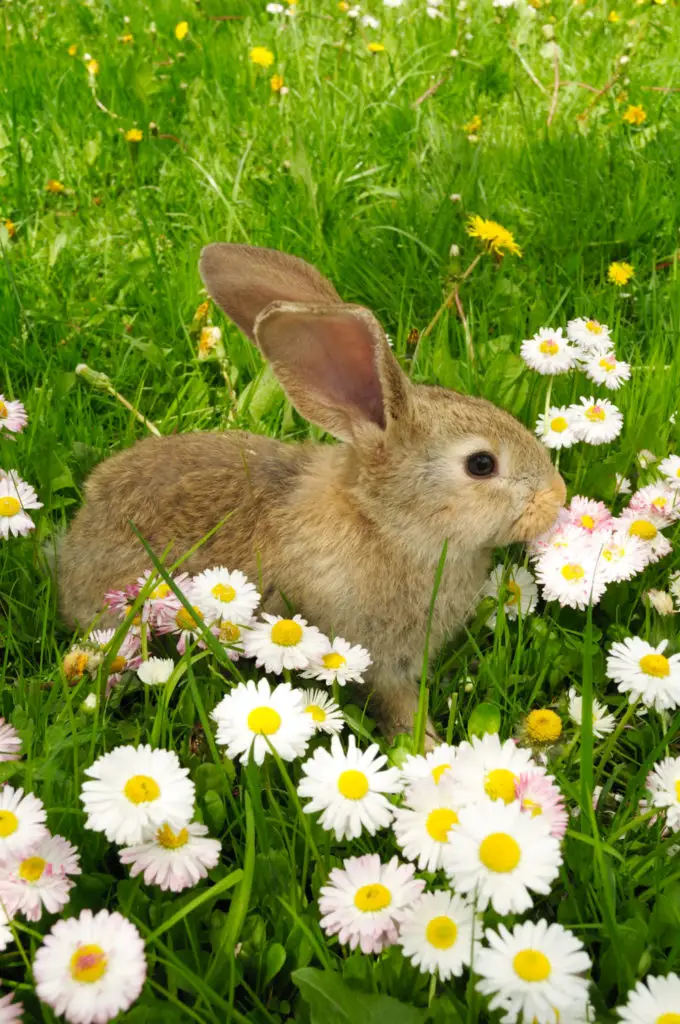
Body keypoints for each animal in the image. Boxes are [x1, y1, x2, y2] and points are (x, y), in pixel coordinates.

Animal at [58, 243, 565, 741]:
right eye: (481, 464)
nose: (556, 496)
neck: (384, 523)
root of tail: (72, 546)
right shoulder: (377, 656)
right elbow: (398, 705)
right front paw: (429, 747)